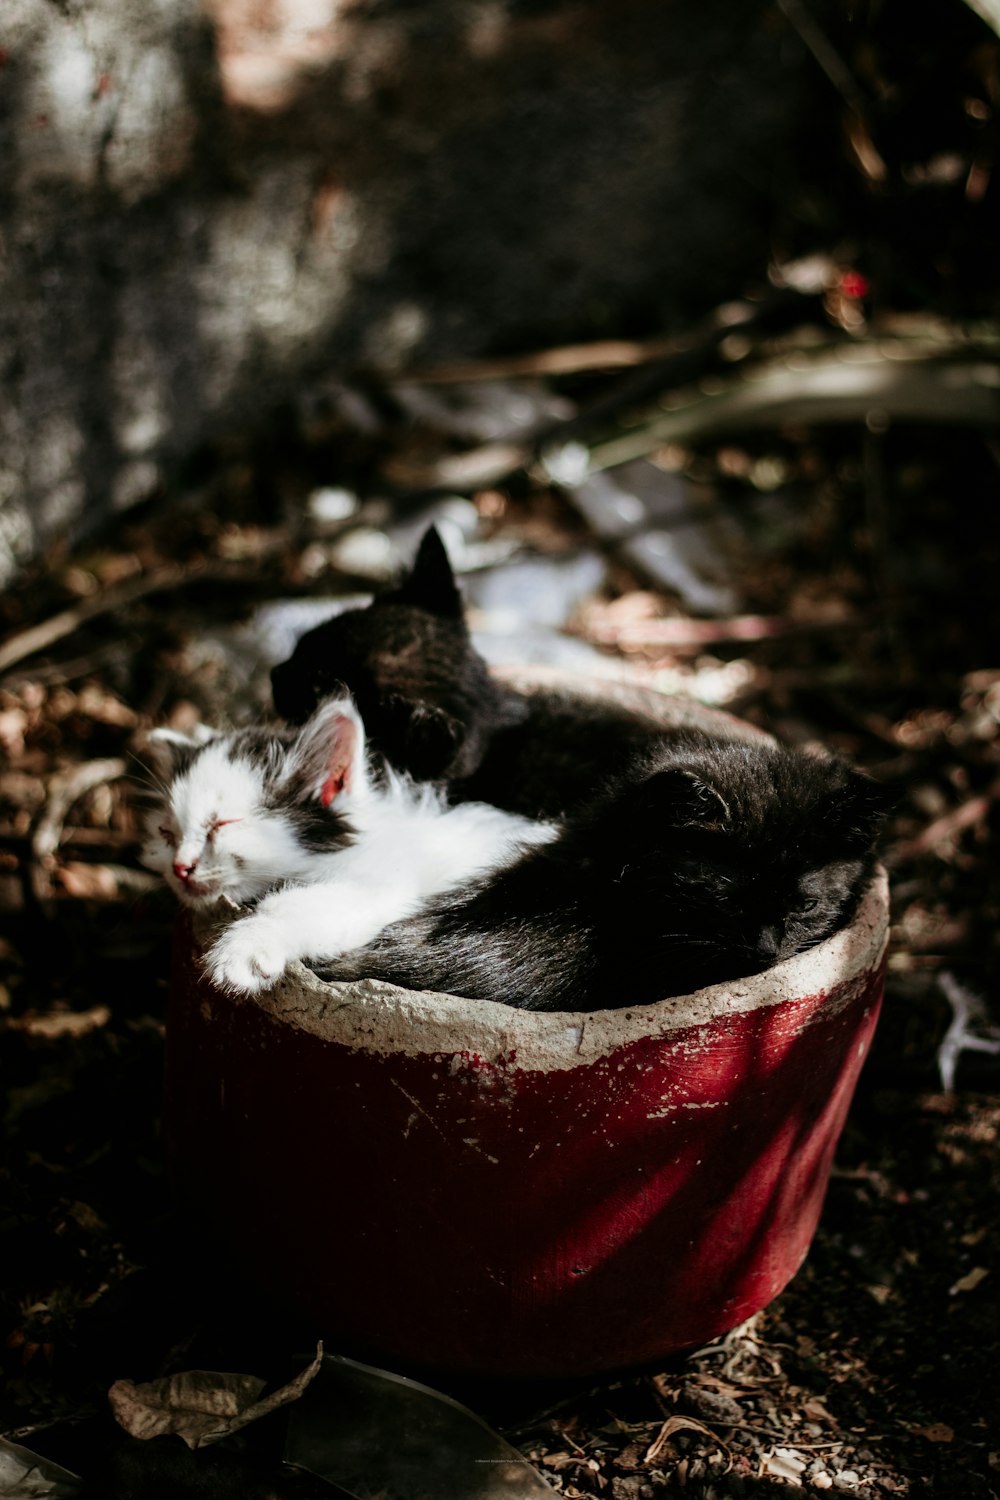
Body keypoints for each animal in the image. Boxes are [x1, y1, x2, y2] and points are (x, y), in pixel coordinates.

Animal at [140, 690, 554, 996]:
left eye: (221, 825)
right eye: (167, 833)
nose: (180, 867)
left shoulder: (386, 884)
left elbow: (296, 906)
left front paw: (245, 949)